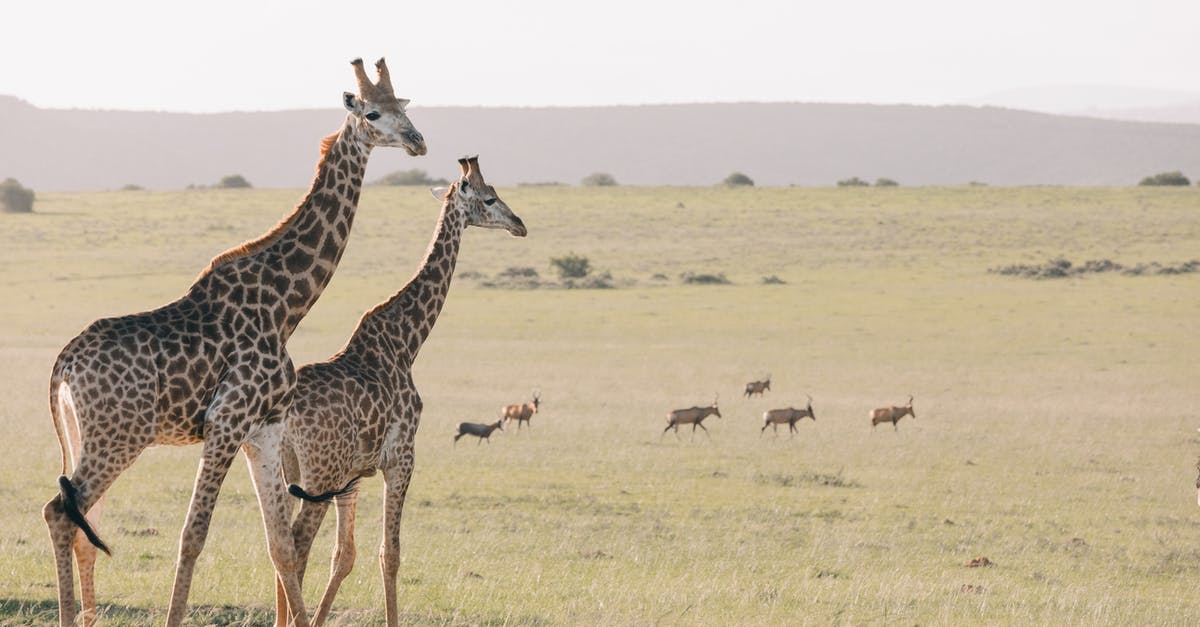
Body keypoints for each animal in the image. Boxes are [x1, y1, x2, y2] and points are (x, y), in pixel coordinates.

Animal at [43, 58, 427, 624]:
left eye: (405, 107)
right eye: (373, 113)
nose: (419, 141)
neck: (285, 306)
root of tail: (62, 365)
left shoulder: (262, 428)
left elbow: (281, 544)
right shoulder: (226, 420)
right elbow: (193, 536)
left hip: (81, 435)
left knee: (76, 521)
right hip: (119, 437)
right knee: (61, 513)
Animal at [280, 156, 525, 624]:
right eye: (489, 198)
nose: (519, 224)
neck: (407, 342)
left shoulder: (352, 476)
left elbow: (344, 555)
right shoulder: (401, 459)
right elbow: (388, 554)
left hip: (290, 469)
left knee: (282, 546)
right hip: (318, 473)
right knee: (296, 548)